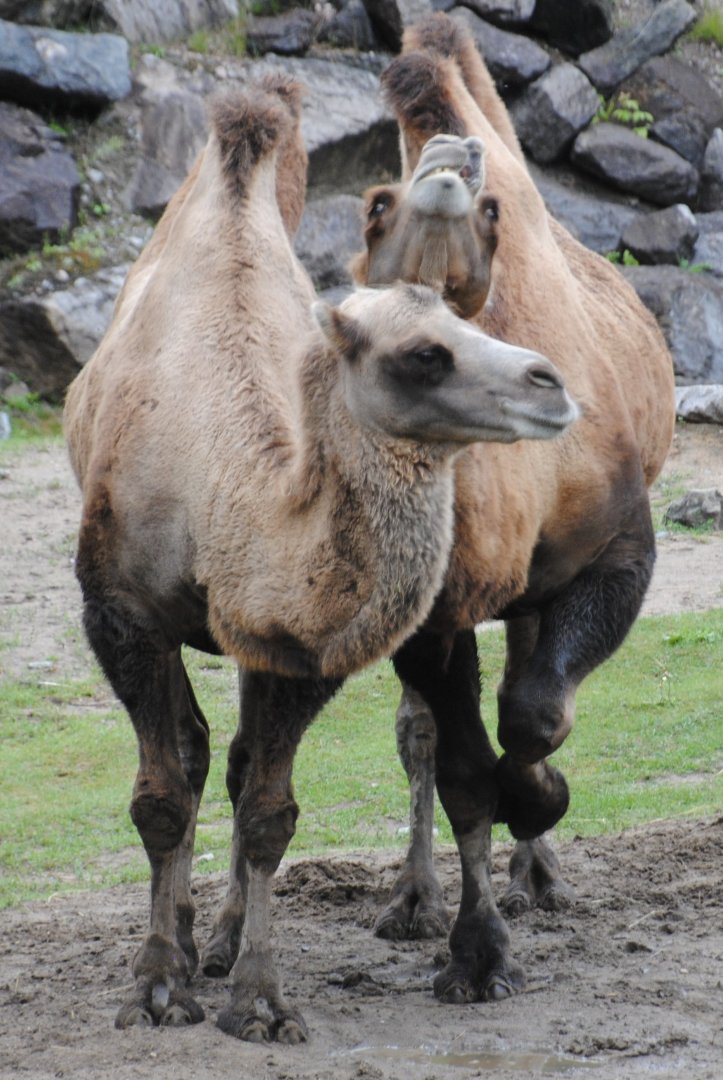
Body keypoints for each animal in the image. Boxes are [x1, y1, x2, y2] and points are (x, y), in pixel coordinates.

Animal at [63, 74, 579, 1040]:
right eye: (424, 353)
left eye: (459, 318)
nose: (553, 382)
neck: (219, 482)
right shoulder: (120, 614)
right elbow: (159, 798)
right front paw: (155, 986)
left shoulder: (291, 649)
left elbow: (270, 812)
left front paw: (258, 1000)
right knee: (189, 757)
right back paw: (184, 939)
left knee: (223, 763)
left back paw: (218, 938)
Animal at [349, 15, 677, 1001]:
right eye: (374, 205)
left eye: (492, 213)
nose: (452, 164)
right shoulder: (434, 612)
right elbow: (459, 765)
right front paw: (474, 952)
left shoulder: (616, 547)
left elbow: (532, 713)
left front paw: (540, 804)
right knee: (421, 731)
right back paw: (413, 899)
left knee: (528, 679)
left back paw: (542, 872)